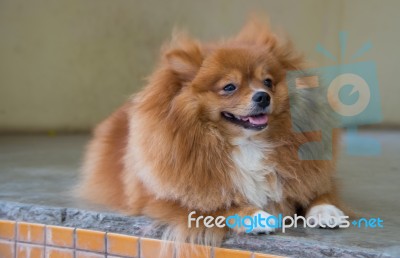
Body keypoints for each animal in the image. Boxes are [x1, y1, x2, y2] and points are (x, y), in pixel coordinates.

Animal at [79, 18, 346, 248]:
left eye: (268, 82)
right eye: (229, 87)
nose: (263, 96)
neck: (247, 144)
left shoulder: (310, 174)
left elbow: (320, 191)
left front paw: (325, 210)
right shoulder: (164, 197)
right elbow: (217, 203)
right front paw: (255, 215)